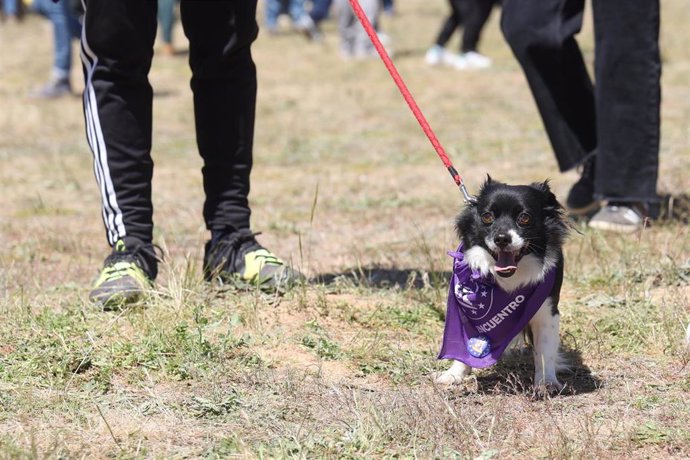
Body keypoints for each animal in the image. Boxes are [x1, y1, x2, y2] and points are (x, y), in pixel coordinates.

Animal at [436, 178, 568, 394]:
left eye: (524, 218)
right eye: (487, 216)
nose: (502, 238)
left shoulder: (548, 311)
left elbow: (545, 349)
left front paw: (546, 382)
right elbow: (462, 344)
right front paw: (454, 374)